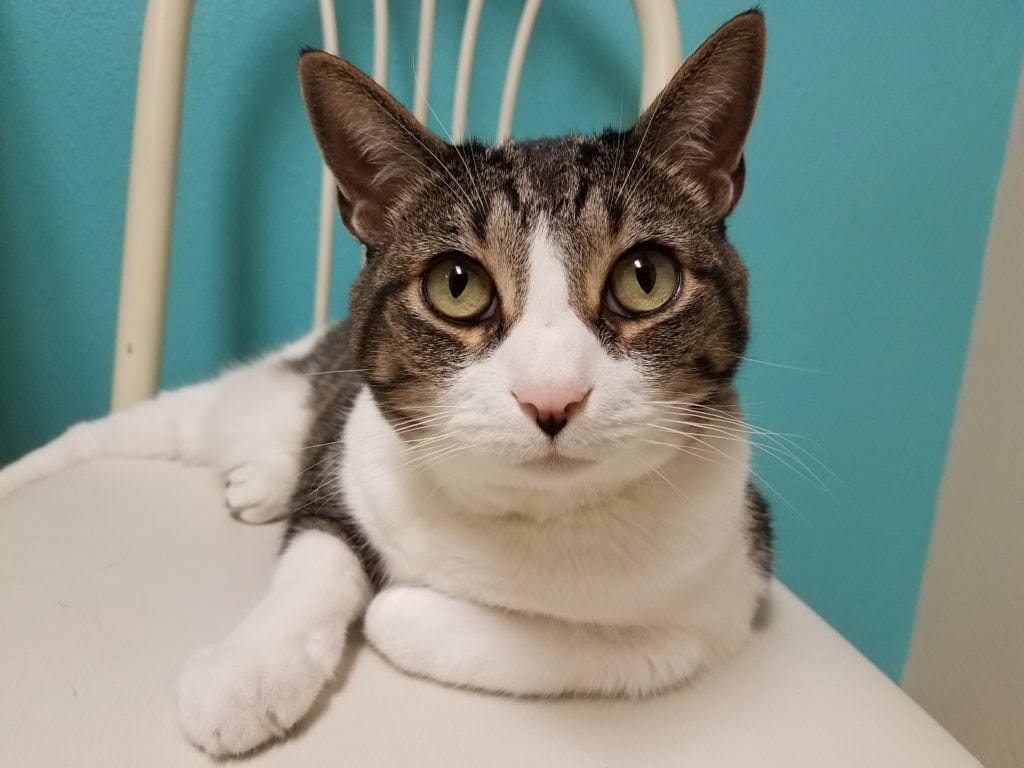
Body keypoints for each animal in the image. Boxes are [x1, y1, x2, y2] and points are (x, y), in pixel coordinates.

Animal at [0, 10, 770, 757]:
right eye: (456, 285)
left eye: (646, 278)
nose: (551, 398)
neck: (528, 518)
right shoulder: (353, 475)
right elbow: (316, 563)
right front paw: (247, 673)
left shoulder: (729, 589)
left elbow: (605, 646)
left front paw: (399, 611)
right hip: (279, 393)